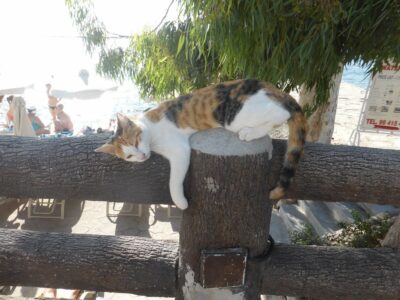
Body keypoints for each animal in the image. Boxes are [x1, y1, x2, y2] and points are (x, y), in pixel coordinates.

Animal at [96, 79, 306, 211]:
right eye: (129, 156)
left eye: (136, 141)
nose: (141, 156)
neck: (150, 129)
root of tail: (272, 87)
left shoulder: (180, 150)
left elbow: (174, 181)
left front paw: (180, 203)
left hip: (237, 116)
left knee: (282, 113)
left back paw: (250, 132)